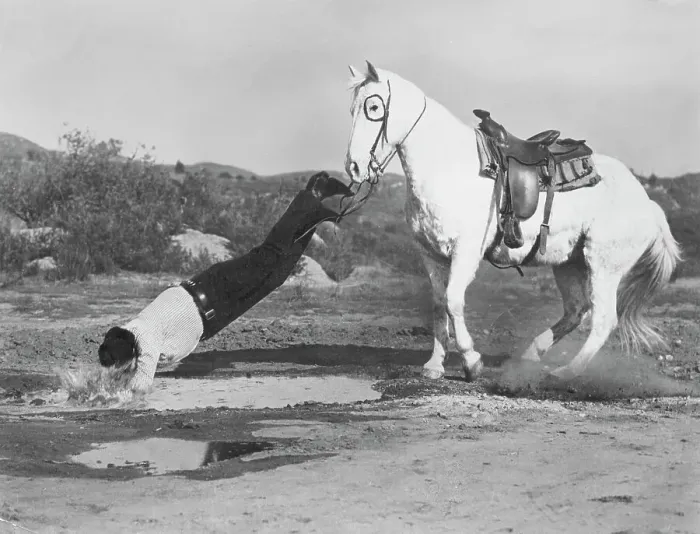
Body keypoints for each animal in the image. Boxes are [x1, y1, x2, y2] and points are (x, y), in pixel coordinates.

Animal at [343, 61, 681, 382]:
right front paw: (434, 365)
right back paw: (532, 354)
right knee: (576, 311)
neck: (448, 167)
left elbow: (453, 301)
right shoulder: (431, 254)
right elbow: (439, 304)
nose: (354, 167)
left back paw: (566, 372)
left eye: (373, 108)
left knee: (602, 319)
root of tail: (648, 204)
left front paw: (472, 362)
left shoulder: (466, 252)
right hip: (568, 263)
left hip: (604, 266)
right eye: (352, 109)